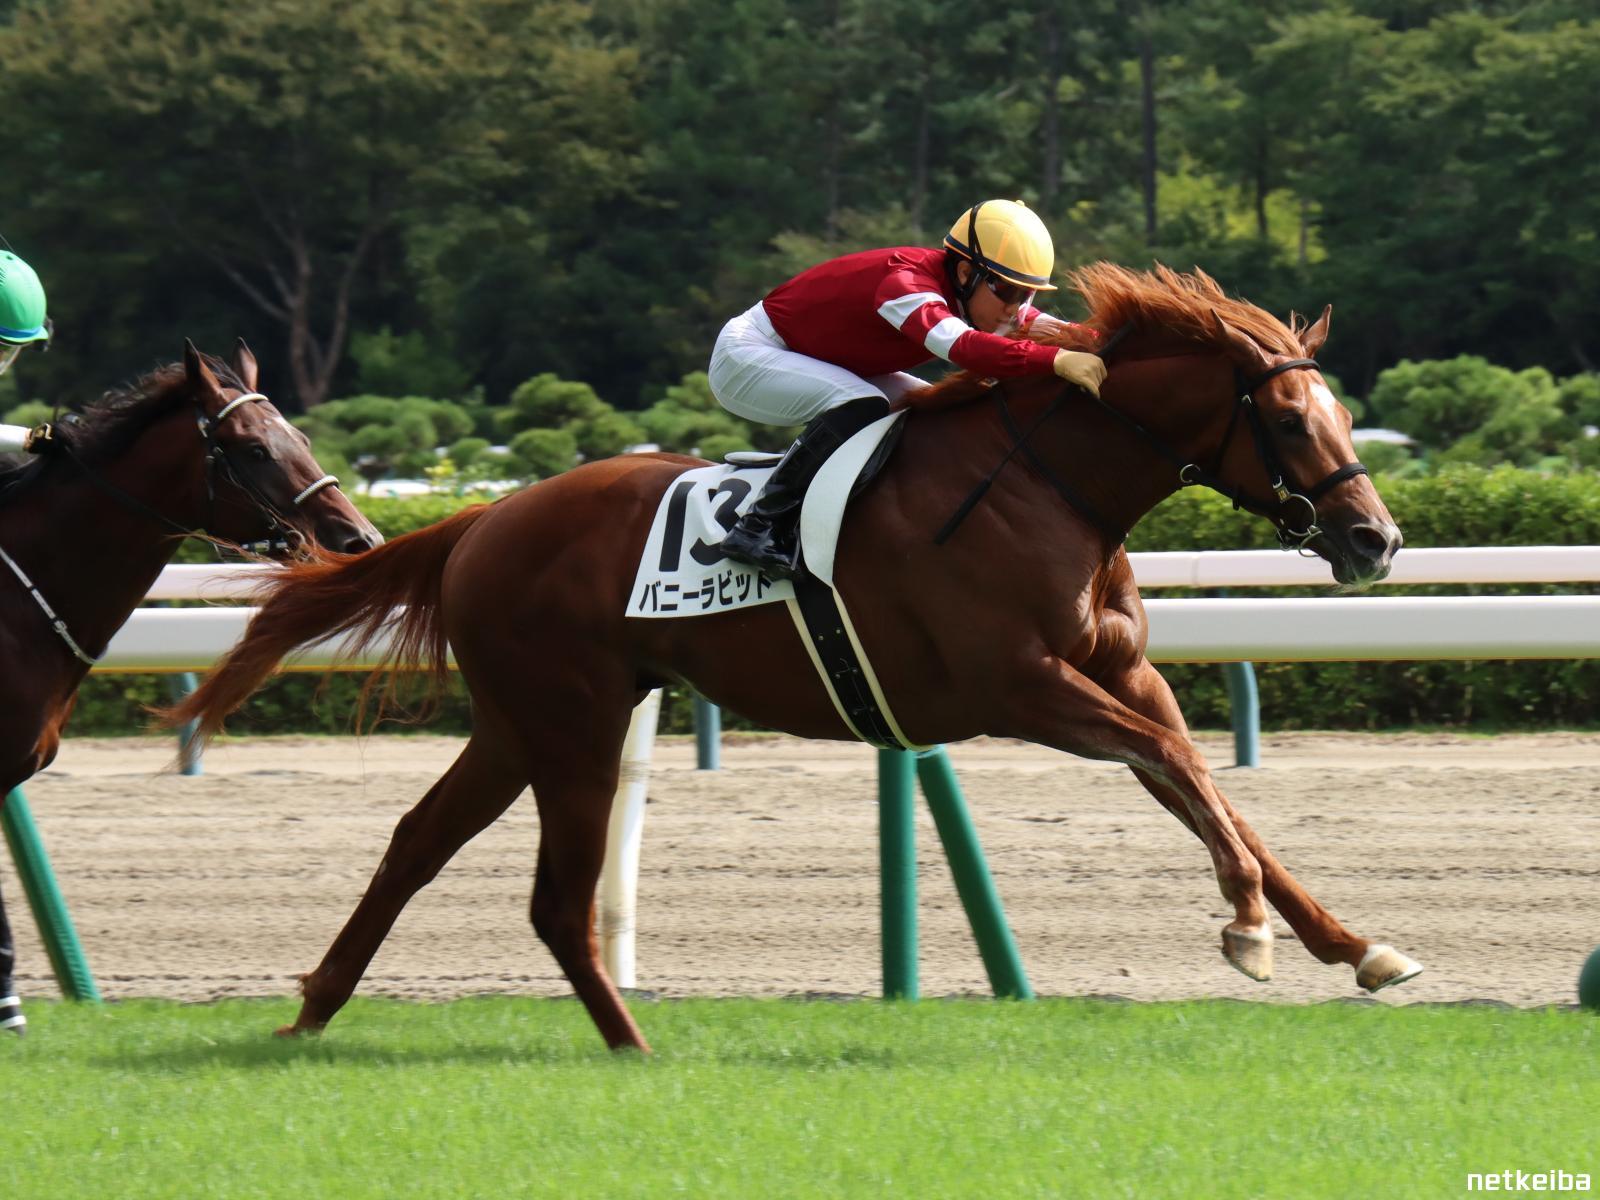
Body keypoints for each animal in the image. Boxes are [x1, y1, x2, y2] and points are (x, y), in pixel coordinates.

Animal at [168, 270, 1427, 1049]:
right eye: (1290, 422)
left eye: (1338, 415)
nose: (1375, 541)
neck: (1046, 486)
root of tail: (482, 519)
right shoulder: (1018, 687)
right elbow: (1184, 765)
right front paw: (1249, 930)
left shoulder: (1117, 676)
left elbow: (1197, 779)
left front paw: (1353, 945)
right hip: (572, 723)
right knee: (551, 896)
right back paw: (628, 1043)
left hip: (520, 722)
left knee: (417, 841)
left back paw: (312, 1010)